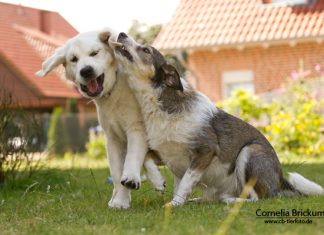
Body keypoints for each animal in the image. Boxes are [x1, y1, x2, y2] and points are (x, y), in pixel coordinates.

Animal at [36, 29, 166, 209]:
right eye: (73, 59)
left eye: (95, 53)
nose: (86, 70)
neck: (113, 92)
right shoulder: (112, 138)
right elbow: (117, 172)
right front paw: (120, 200)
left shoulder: (136, 128)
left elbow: (132, 158)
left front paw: (130, 180)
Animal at [104, 31, 324, 206]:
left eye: (146, 50)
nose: (122, 33)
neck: (162, 105)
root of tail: (279, 179)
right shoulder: (164, 152)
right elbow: (146, 159)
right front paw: (159, 182)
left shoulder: (205, 150)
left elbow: (185, 182)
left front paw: (174, 204)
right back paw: (199, 200)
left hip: (250, 152)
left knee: (256, 198)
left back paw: (229, 200)